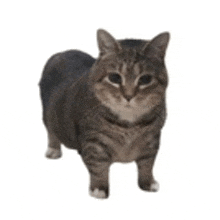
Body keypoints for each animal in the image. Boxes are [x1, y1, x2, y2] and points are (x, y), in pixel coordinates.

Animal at [39, 28, 170, 199]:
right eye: (114, 77)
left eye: (145, 79)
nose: (128, 96)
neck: (129, 124)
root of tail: (63, 51)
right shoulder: (94, 141)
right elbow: (98, 165)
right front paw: (99, 188)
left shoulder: (152, 139)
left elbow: (147, 163)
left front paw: (147, 182)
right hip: (48, 115)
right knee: (51, 131)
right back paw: (53, 149)